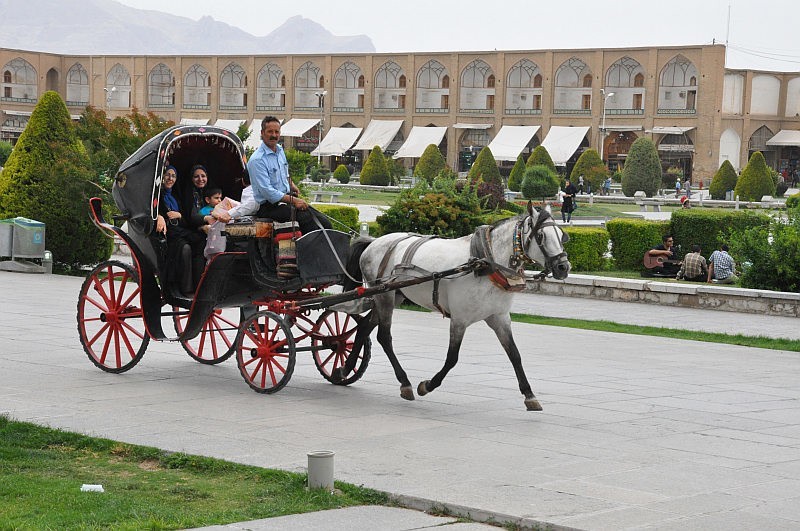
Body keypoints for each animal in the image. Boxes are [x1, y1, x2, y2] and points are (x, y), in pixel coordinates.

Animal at [334, 204, 572, 412]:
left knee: (364, 327)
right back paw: (404, 382)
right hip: (384, 295)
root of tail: (374, 242)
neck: (485, 263)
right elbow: (452, 358)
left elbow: (515, 354)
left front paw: (529, 395)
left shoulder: (500, 317)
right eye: (541, 237)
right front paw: (427, 385)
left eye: (562, 236)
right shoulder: (459, 319)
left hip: (394, 294)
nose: (563, 266)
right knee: (384, 336)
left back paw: (344, 368)